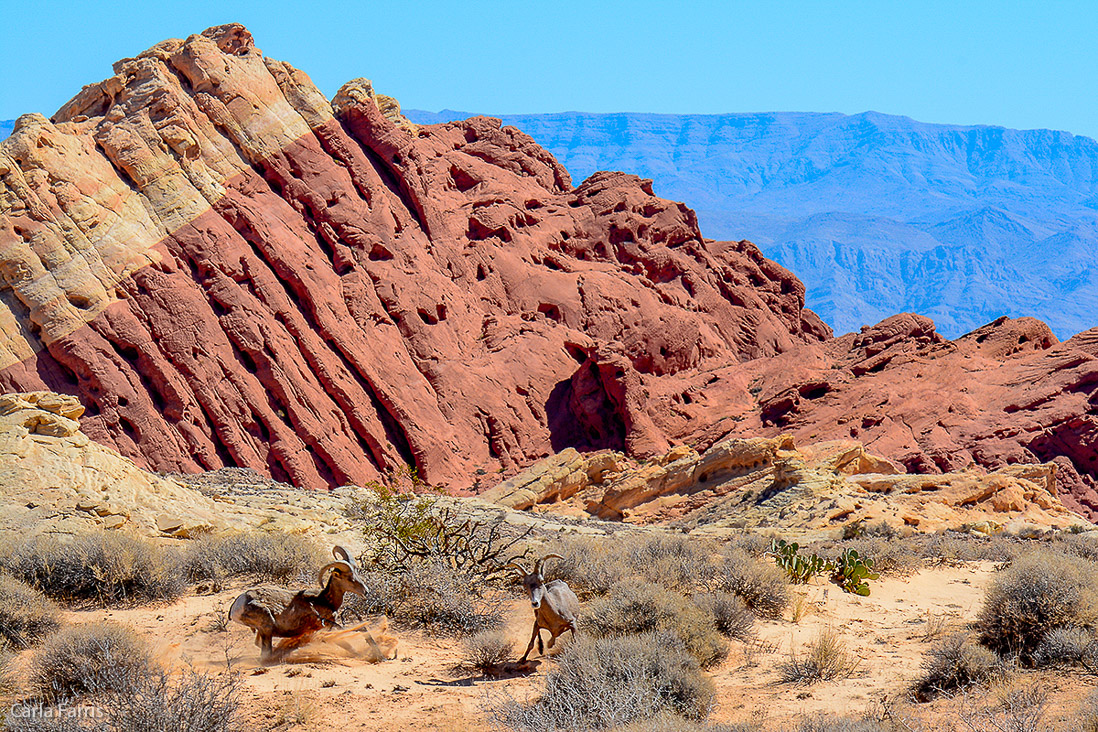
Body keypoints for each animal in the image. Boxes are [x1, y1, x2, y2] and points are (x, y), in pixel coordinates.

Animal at [229, 544, 366, 658]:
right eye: (349, 578)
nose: (365, 591)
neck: (324, 600)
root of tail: (237, 605)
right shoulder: (325, 628)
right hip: (266, 627)